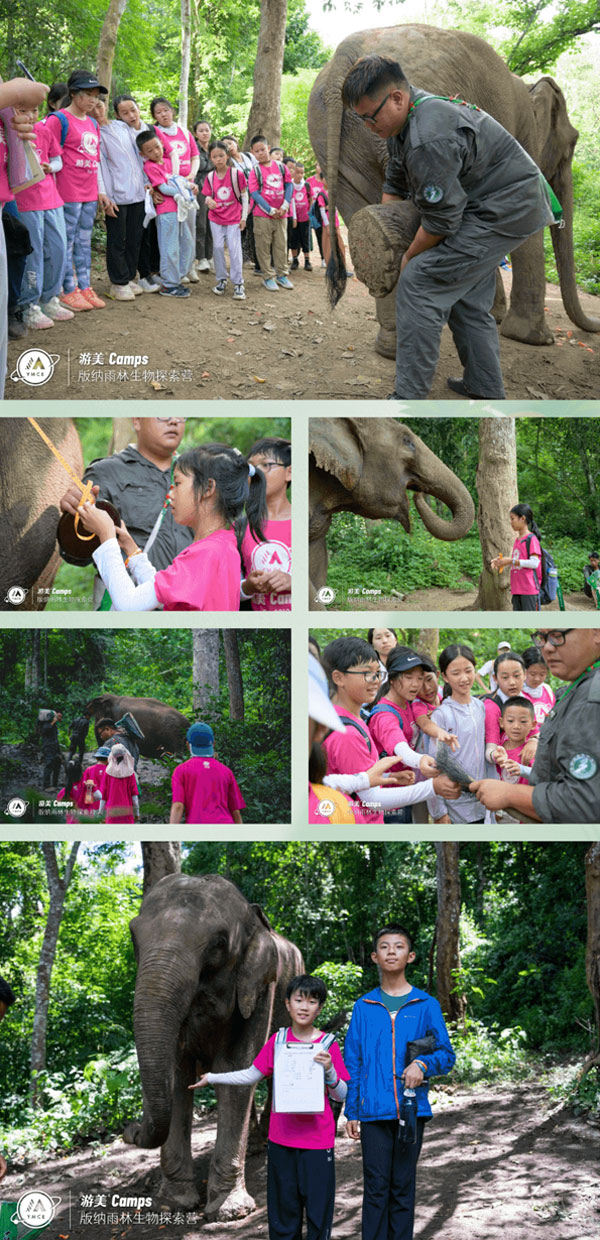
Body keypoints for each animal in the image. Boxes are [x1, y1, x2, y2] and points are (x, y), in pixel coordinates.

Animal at [124, 877, 304, 1215]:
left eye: (219, 945)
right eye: (133, 936)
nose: (130, 1130)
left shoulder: (262, 987)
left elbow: (235, 1067)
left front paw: (229, 1210)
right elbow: (178, 1077)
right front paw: (172, 1204)